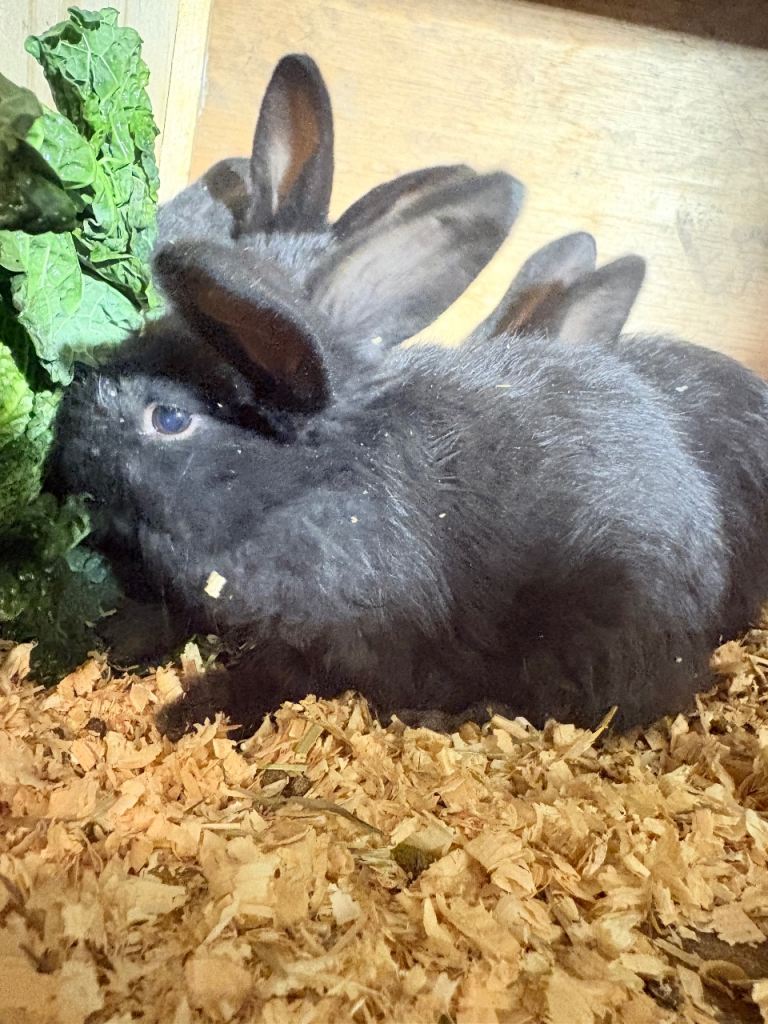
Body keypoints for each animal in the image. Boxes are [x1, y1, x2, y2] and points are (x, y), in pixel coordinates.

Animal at [50, 215, 768, 741]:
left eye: (168, 417)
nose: (71, 414)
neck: (295, 493)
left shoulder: (327, 643)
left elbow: (266, 680)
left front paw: (186, 716)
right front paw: (121, 641)